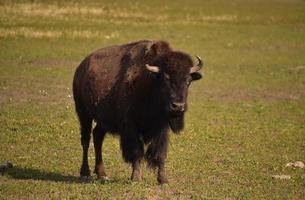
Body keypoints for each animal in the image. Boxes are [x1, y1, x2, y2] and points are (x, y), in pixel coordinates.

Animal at [72, 39, 203, 184]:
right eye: (165, 79)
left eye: (188, 81)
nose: (178, 106)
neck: (149, 82)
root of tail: (80, 68)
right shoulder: (130, 127)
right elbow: (136, 152)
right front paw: (135, 177)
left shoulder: (161, 129)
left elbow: (160, 153)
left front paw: (163, 179)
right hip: (83, 113)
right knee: (85, 140)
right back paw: (85, 172)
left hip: (103, 120)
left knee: (97, 137)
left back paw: (102, 174)